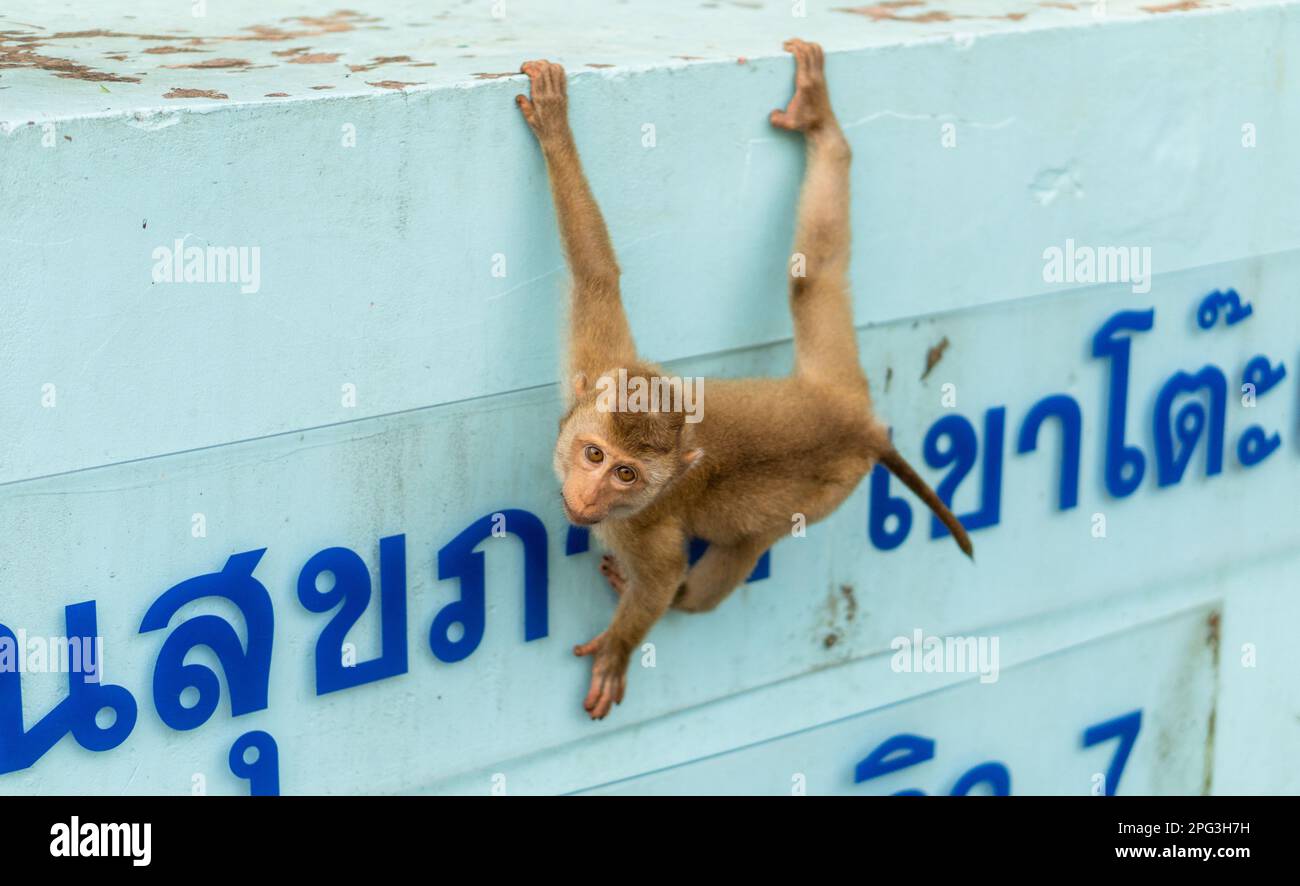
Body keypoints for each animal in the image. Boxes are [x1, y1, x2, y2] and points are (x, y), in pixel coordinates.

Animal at [515, 40, 971, 721]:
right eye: (593, 454)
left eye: (625, 474)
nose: (588, 494)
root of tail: (860, 425)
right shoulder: (599, 369)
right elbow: (596, 271)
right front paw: (555, 128)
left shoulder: (639, 526)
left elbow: (662, 580)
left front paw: (620, 648)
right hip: (833, 372)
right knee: (813, 276)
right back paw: (823, 129)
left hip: (826, 493)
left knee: (734, 560)